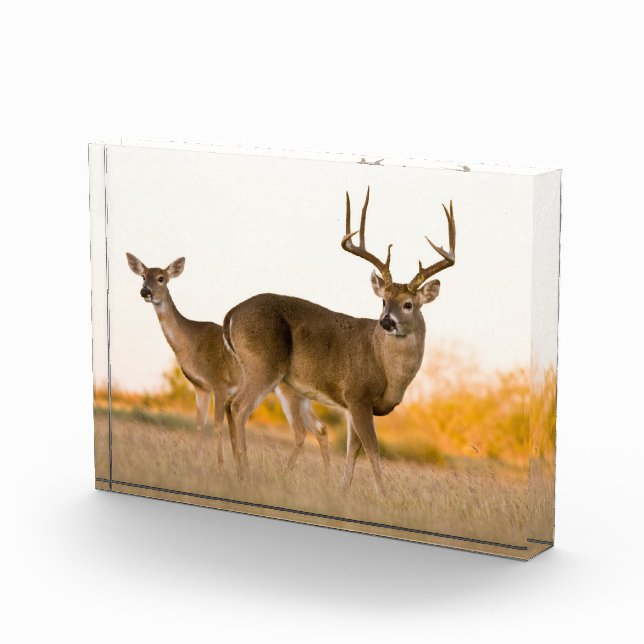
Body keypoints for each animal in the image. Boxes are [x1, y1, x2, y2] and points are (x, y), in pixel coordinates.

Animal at [125, 253, 330, 474]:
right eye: (143, 276)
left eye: (161, 278)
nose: (145, 291)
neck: (189, 343)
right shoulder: (200, 386)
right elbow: (200, 424)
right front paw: (197, 462)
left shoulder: (219, 383)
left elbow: (217, 424)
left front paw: (221, 465)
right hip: (301, 395)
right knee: (320, 428)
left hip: (285, 390)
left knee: (301, 431)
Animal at [222, 188, 455, 493]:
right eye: (383, 300)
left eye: (408, 304)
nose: (386, 321)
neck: (386, 368)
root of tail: (232, 313)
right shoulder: (357, 394)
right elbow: (372, 449)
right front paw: (381, 495)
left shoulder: (351, 404)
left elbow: (352, 450)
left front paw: (343, 492)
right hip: (264, 365)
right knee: (238, 408)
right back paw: (245, 474)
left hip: (256, 370)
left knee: (229, 405)